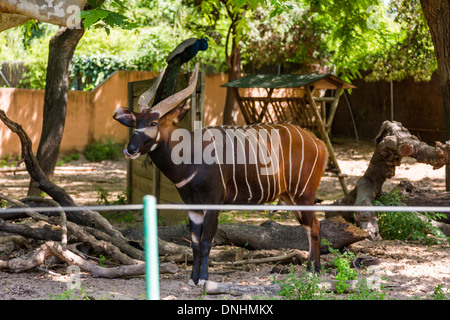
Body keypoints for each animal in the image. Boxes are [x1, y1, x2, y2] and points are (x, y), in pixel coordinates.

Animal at [114, 65, 328, 284]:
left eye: (153, 123)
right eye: (136, 122)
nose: (130, 149)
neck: (190, 157)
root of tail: (318, 142)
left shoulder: (213, 203)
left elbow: (206, 242)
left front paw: (204, 280)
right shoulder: (193, 207)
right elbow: (195, 244)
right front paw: (192, 279)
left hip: (303, 194)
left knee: (314, 226)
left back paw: (313, 271)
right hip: (290, 196)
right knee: (312, 225)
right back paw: (314, 269)